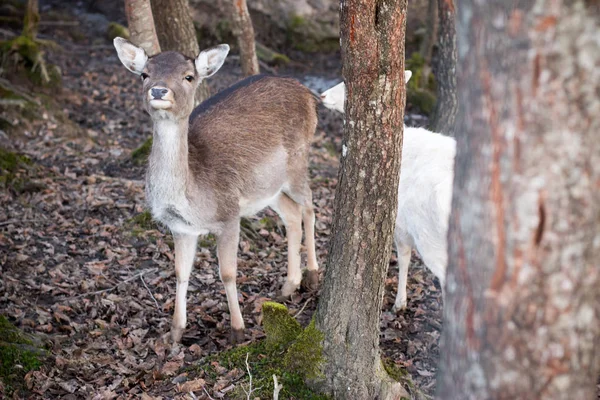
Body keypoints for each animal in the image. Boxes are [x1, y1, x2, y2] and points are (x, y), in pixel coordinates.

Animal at [113, 36, 318, 344]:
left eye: (188, 76)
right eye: (144, 74)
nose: (159, 90)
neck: (192, 196)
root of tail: (307, 91)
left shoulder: (229, 214)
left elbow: (228, 273)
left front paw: (238, 330)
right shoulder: (180, 227)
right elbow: (180, 272)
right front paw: (175, 333)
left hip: (298, 162)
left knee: (310, 206)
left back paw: (313, 276)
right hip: (268, 187)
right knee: (292, 215)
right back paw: (288, 287)